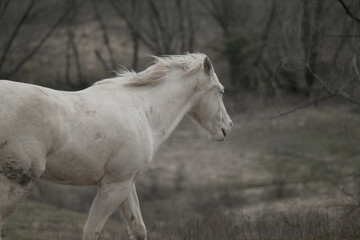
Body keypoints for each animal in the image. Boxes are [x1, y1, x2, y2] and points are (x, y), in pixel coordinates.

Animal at [0, 53, 231, 240]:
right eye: (220, 91)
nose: (227, 127)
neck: (143, 111)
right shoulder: (114, 187)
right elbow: (92, 231)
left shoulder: (125, 184)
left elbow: (138, 229)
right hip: (17, 183)